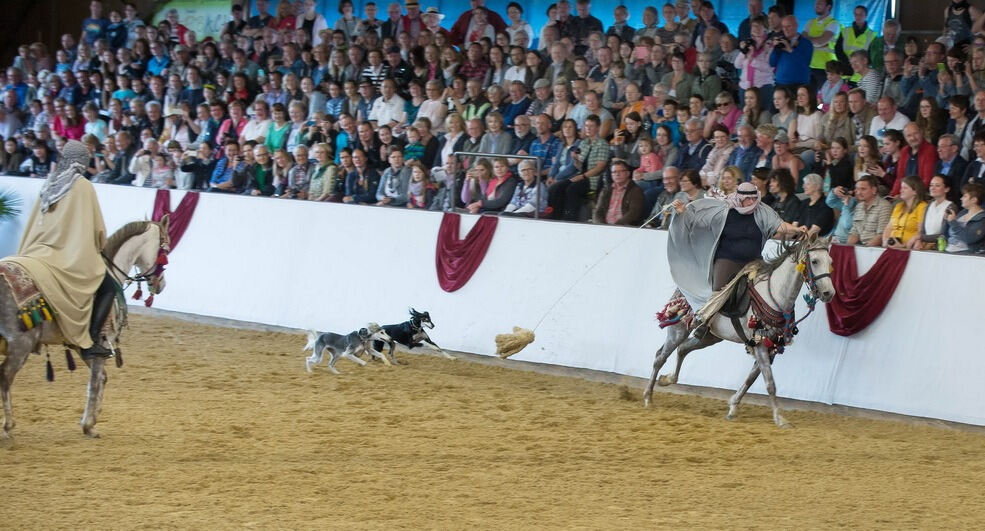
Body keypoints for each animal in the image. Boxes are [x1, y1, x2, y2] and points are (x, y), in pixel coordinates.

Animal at [0, 218, 169, 438]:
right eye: (166, 248)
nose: (160, 284)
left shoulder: (84, 346)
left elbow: (101, 379)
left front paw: (93, 420)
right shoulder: (102, 345)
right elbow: (96, 380)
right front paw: (88, 424)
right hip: (21, 345)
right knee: (5, 376)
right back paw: (7, 426)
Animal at [640, 237, 836, 428]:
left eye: (830, 262)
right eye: (814, 261)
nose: (829, 293)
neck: (774, 296)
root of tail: (681, 291)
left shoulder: (770, 346)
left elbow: (751, 379)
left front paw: (733, 407)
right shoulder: (760, 344)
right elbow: (770, 383)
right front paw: (779, 419)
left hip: (709, 338)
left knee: (682, 349)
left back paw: (667, 380)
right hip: (679, 330)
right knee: (660, 357)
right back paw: (648, 398)